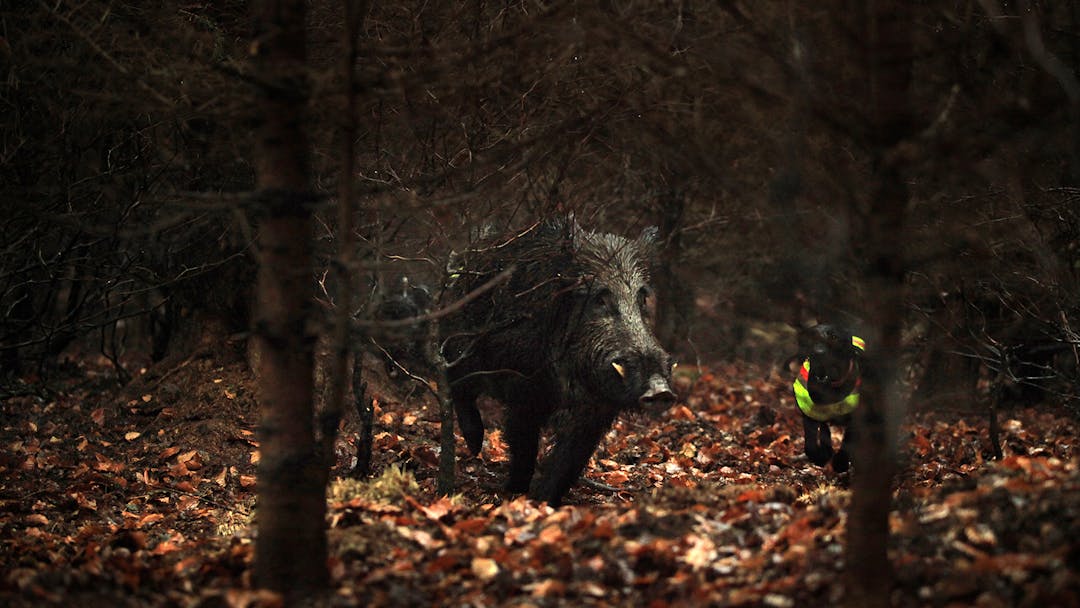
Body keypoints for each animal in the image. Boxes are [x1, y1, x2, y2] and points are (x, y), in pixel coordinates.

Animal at [790, 326, 864, 473]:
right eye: (812, 337)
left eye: (834, 338)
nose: (818, 352)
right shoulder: (810, 412)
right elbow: (811, 443)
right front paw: (819, 457)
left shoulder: (854, 419)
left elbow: (847, 442)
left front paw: (840, 462)